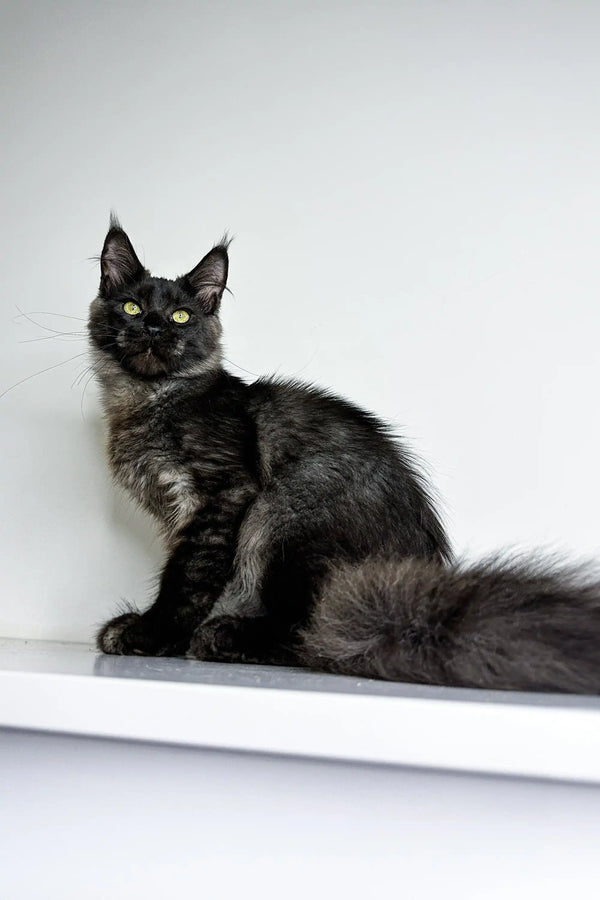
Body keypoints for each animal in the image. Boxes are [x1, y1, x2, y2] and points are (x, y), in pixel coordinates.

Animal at [89, 218, 600, 696]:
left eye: (181, 315)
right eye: (132, 307)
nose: (154, 325)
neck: (149, 400)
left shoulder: (221, 496)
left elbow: (188, 577)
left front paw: (152, 633)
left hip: (284, 510)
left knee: (308, 632)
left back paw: (223, 636)